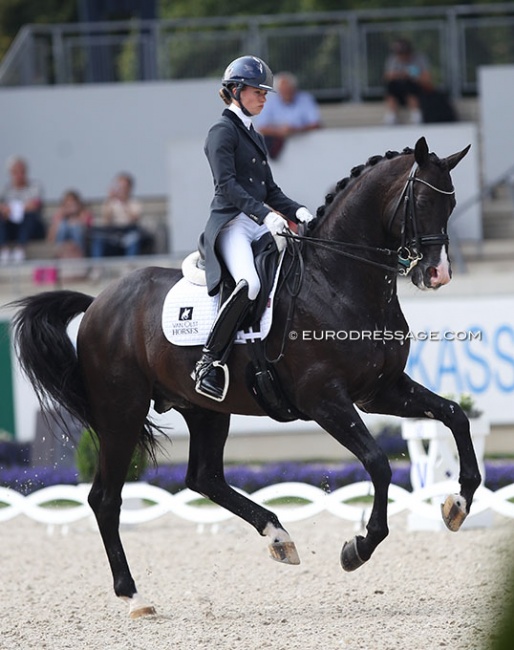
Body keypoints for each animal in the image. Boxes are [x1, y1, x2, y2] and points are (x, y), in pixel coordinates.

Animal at [11, 138, 480, 616]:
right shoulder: (324, 399)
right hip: (120, 412)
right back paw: (134, 596)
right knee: (105, 499)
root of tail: (98, 303)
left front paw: (458, 503)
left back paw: (278, 535)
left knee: (203, 477)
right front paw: (359, 547)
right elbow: (378, 462)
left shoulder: (382, 389)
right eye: (420, 202)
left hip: (203, 409)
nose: (438, 273)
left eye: (451, 203)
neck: (338, 280)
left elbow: (455, 416)